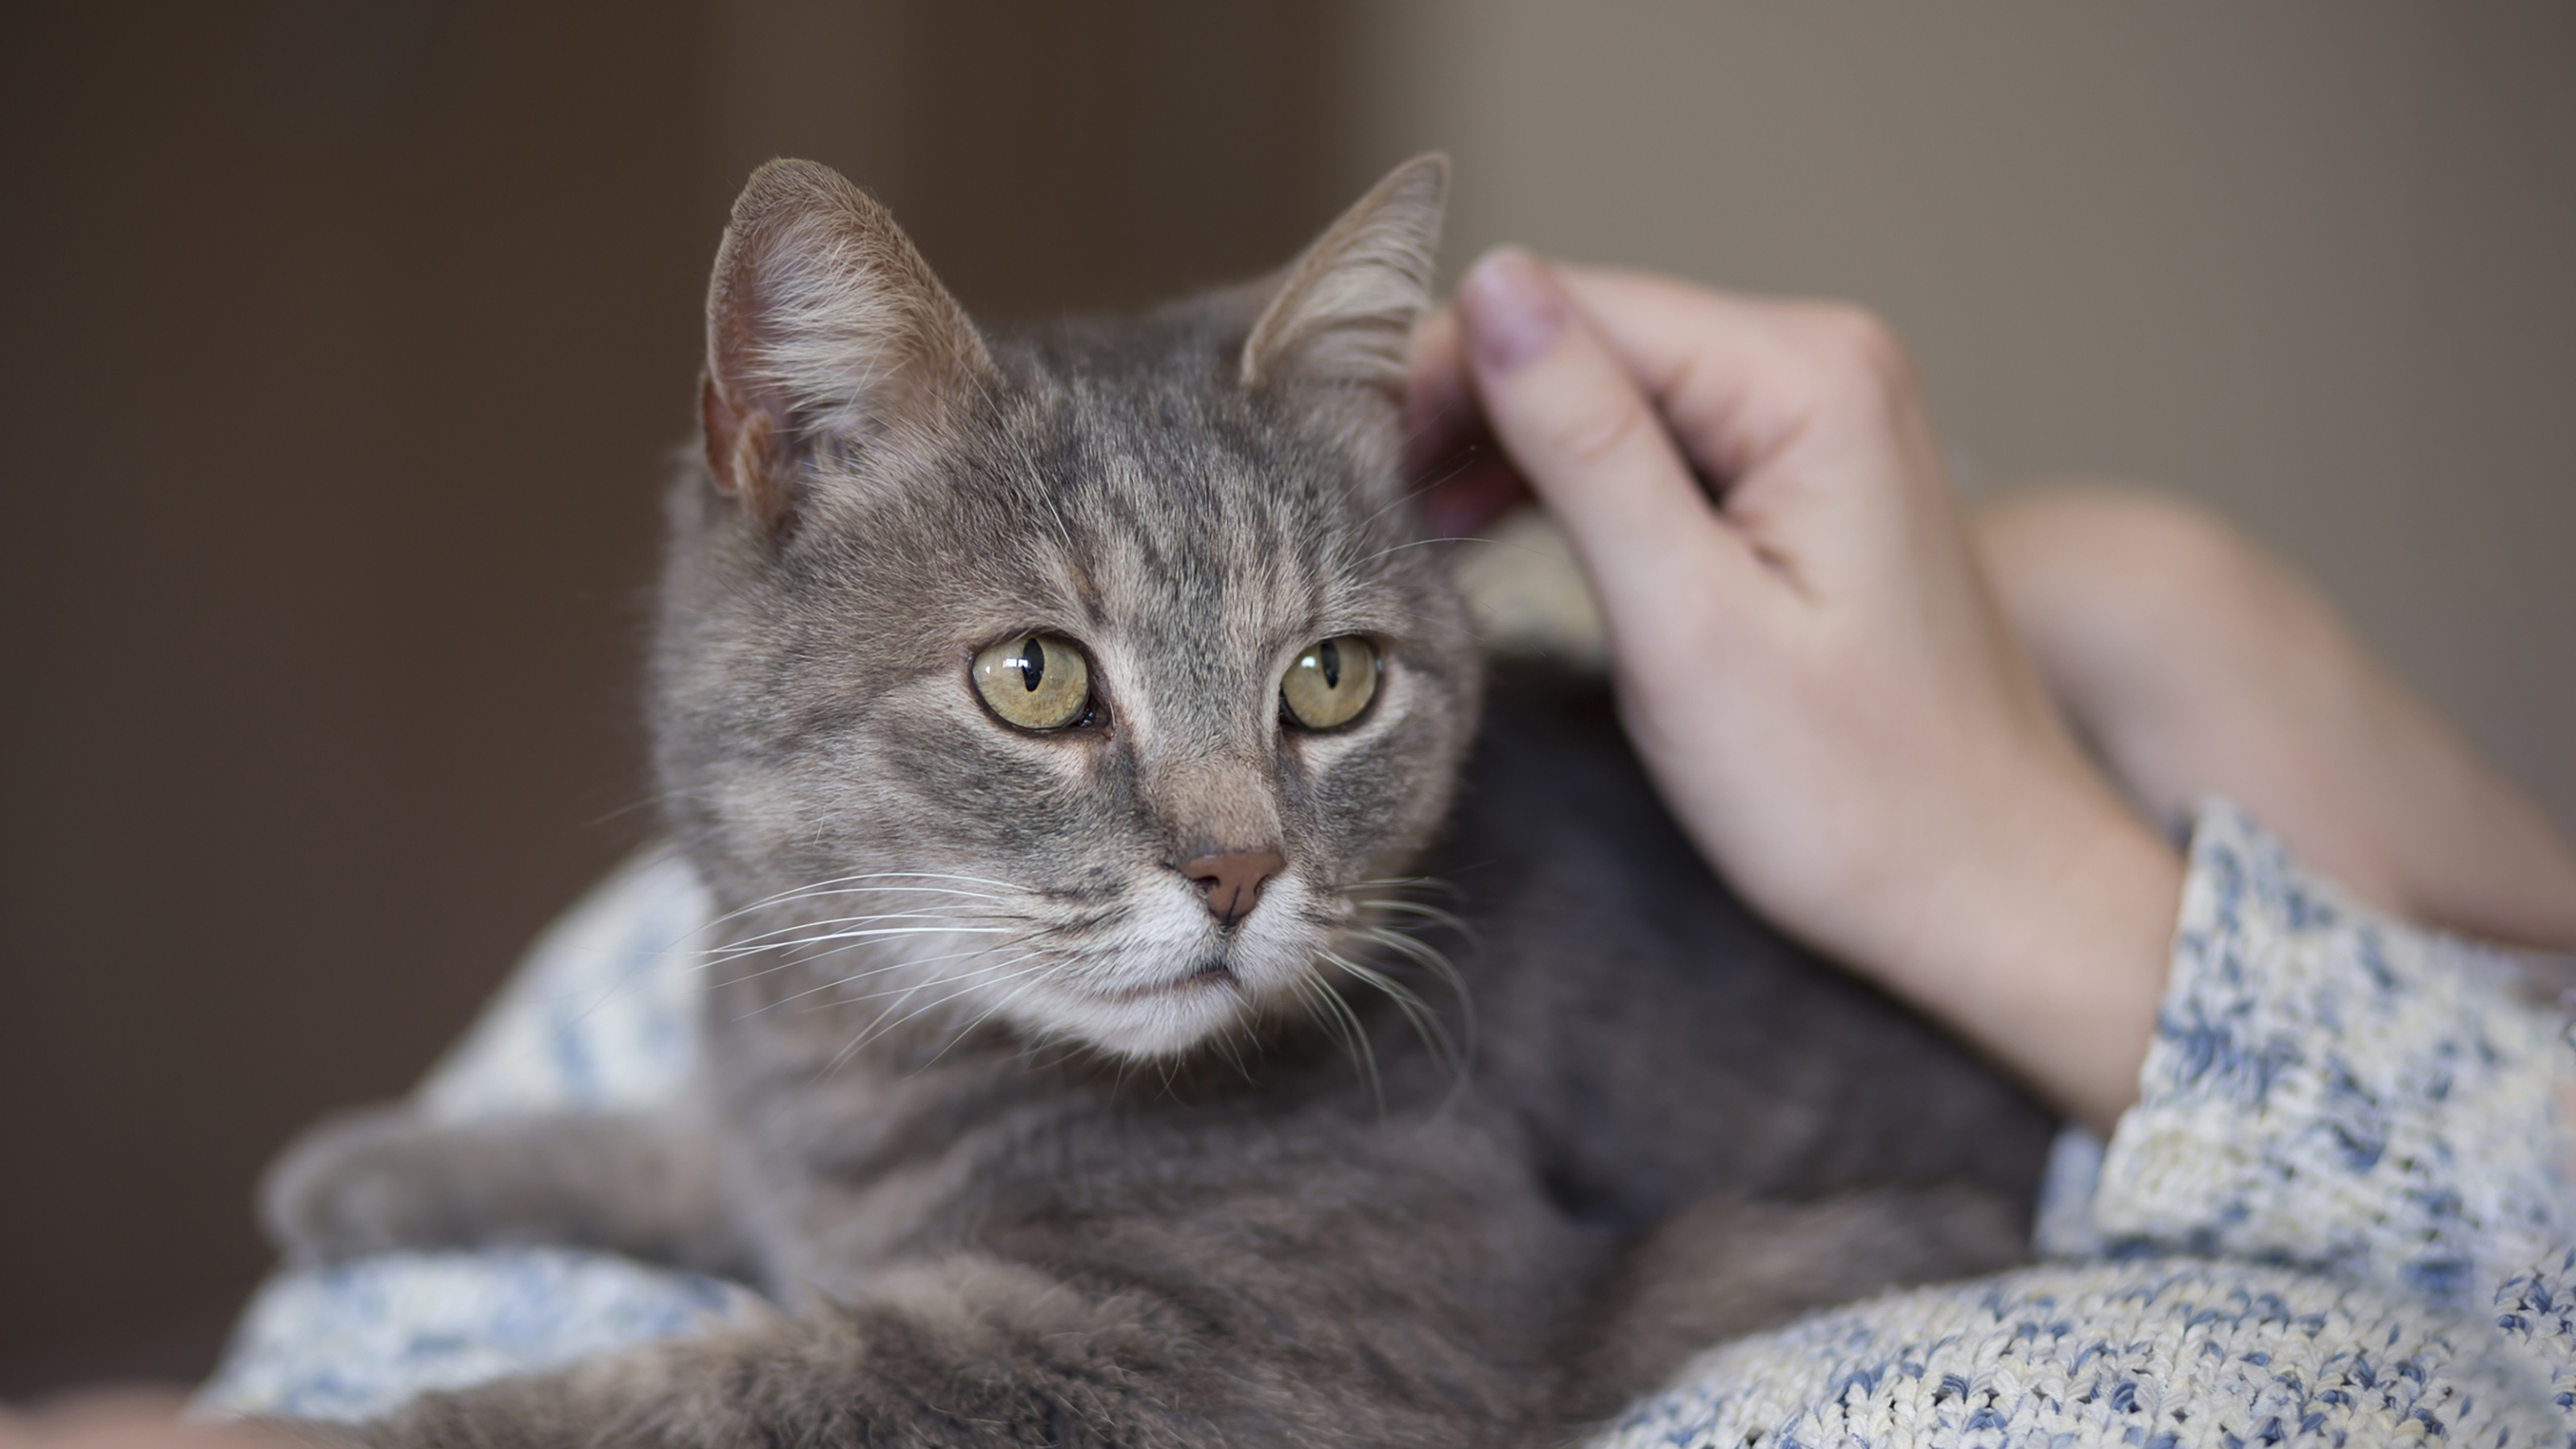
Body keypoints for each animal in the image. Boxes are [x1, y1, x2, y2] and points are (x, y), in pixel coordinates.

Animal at [266, 151, 2050, 1433]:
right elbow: (675, 1151)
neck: (861, 1061)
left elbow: (727, 1391)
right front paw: (385, 1166)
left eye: (1329, 680)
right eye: (1033, 677)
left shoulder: (1255, 1335)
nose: (1239, 872)